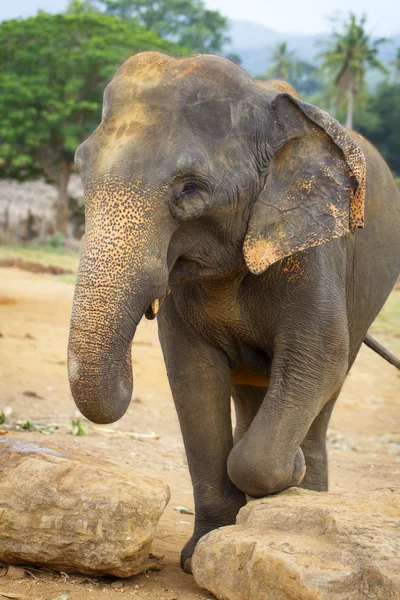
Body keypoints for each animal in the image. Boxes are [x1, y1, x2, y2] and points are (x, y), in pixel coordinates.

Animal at [68, 54, 400, 576]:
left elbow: (318, 356)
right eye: (81, 170)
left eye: (189, 189)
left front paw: (289, 475)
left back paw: (302, 491)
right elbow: (192, 375)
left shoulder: (314, 246)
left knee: (329, 382)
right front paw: (199, 554)